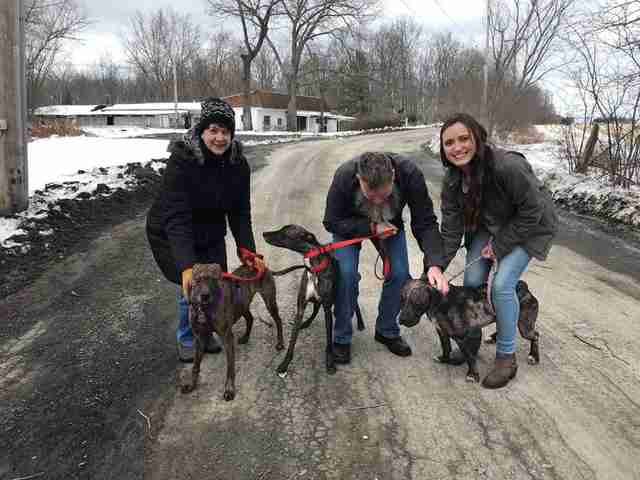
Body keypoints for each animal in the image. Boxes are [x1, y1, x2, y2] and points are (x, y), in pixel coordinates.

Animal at [184, 264, 286, 400]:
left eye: (213, 279)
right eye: (198, 279)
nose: (205, 295)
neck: (204, 309)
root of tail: (262, 265)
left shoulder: (227, 337)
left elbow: (230, 368)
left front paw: (229, 389)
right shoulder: (199, 339)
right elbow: (195, 366)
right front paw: (191, 385)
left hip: (269, 302)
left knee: (278, 320)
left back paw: (280, 342)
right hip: (242, 304)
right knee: (250, 318)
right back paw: (246, 337)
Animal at [400, 278, 540, 382]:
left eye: (417, 302)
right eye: (402, 299)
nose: (400, 320)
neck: (441, 302)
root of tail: (523, 286)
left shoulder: (461, 338)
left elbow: (469, 357)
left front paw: (472, 374)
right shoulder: (442, 331)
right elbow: (446, 347)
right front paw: (444, 359)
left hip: (524, 327)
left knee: (536, 335)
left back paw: (534, 356)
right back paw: (493, 338)